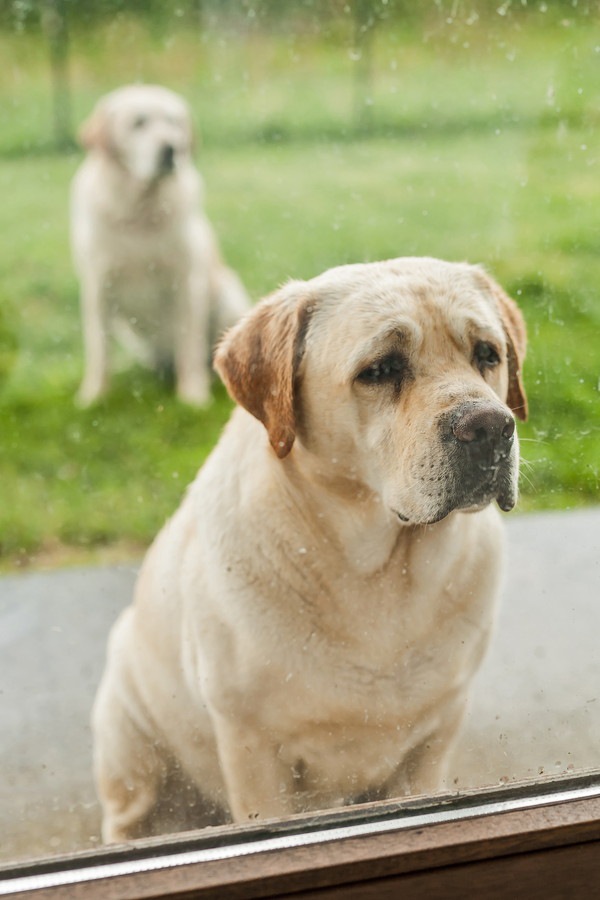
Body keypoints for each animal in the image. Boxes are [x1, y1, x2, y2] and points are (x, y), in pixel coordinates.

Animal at [71, 84, 250, 408]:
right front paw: (93, 396)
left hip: (228, 295)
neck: (140, 212)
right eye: (138, 123)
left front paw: (192, 396)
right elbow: (98, 350)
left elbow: (189, 346)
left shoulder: (186, 283)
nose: (171, 149)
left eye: (174, 122)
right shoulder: (97, 286)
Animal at [91, 256, 528, 840]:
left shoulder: (435, 737)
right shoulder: (253, 751)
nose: (491, 427)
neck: (380, 575)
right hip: (131, 737)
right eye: (380, 369)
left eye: (487, 354)